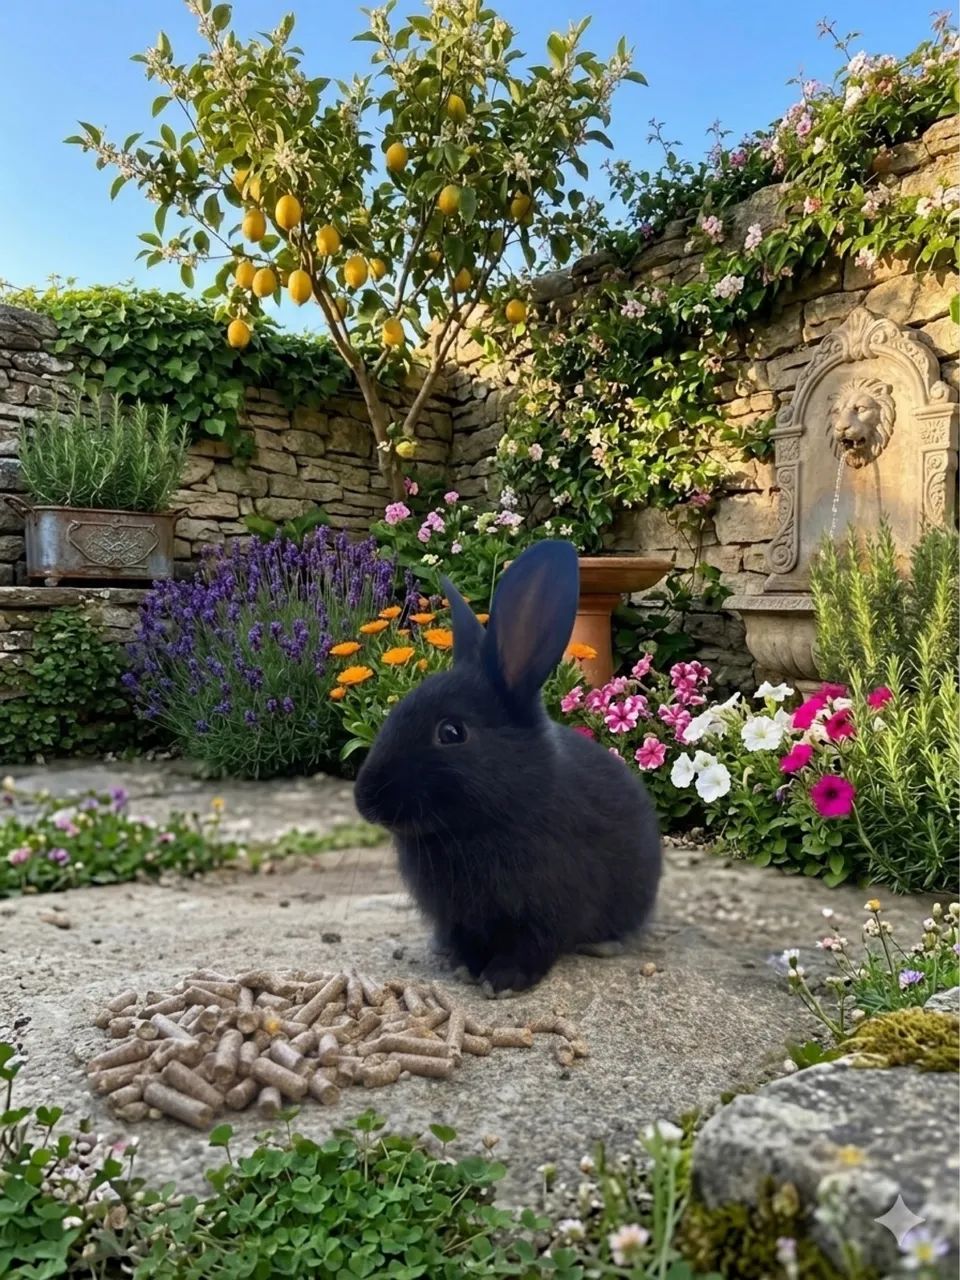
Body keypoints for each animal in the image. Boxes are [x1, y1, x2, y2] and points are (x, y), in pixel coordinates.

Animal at [353, 538, 662, 994]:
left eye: (451, 732)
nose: (365, 802)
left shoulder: (550, 908)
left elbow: (535, 944)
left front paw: (503, 980)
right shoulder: (458, 916)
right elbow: (467, 940)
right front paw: (468, 968)